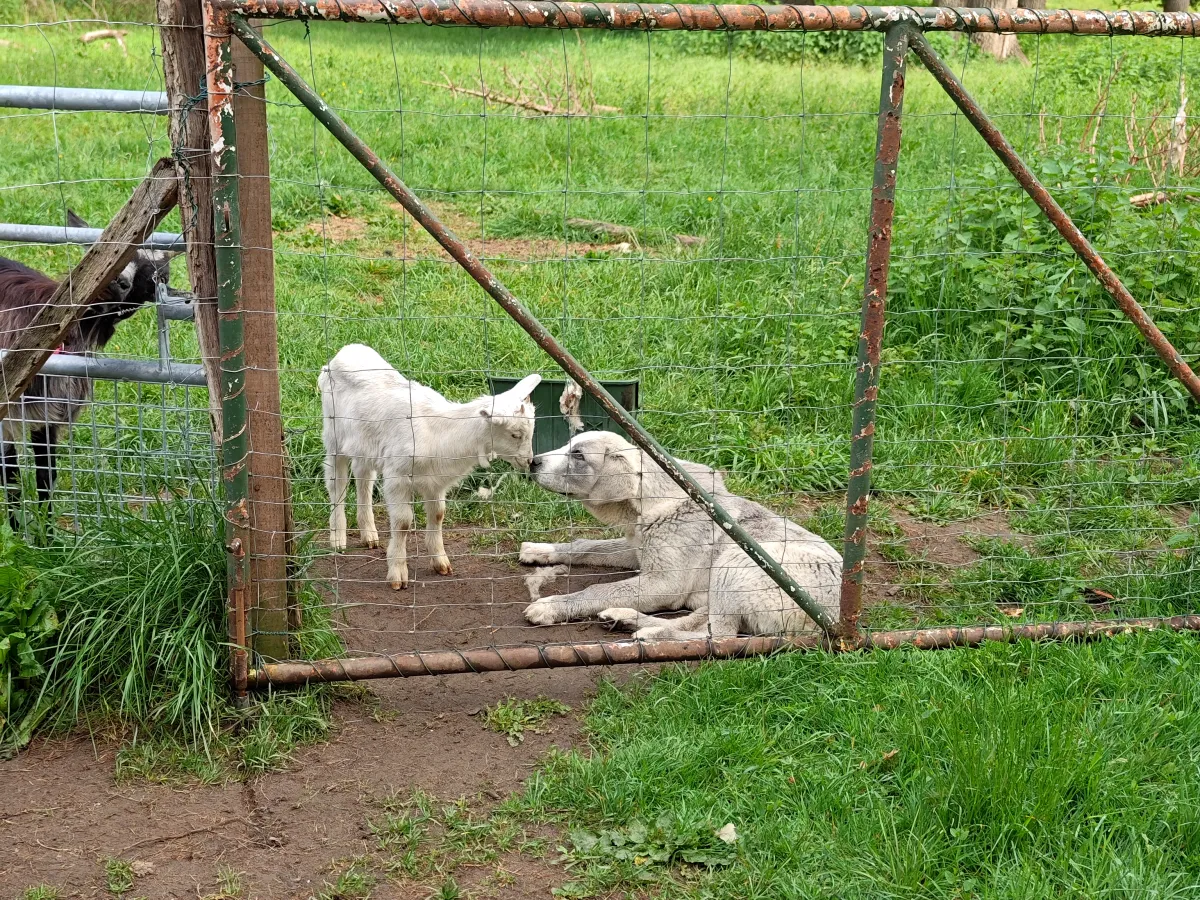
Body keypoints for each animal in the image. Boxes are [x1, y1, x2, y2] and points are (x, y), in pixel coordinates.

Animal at [0, 210, 186, 529]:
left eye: (159, 276)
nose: (119, 284)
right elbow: (11, 478)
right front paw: (17, 535)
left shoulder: (49, 414)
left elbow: (45, 477)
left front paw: (48, 539)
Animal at [319, 343, 540, 589]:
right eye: (514, 434)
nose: (529, 461)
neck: (437, 431)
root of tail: (346, 351)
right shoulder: (397, 476)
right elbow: (403, 523)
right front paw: (398, 573)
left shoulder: (435, 481)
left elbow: (438, 515)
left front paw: (441, 562)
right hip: (333, 434)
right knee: (337, 482)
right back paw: (338, 538)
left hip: (364, 445)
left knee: (363, 477)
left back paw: (369, 534)